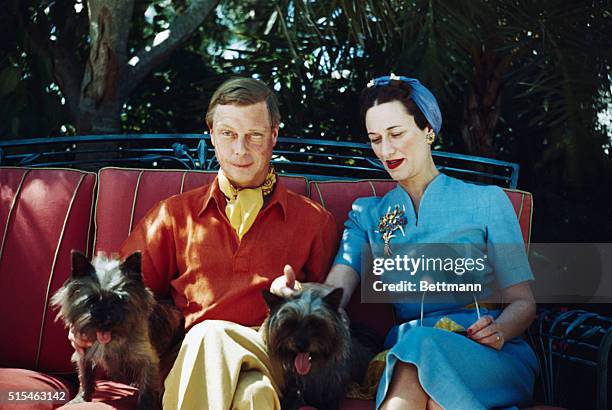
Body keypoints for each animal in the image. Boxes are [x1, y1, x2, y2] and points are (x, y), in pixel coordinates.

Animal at [50, 250, 183, 410]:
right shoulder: (84, 355)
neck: (112, 338)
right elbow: (85, 378)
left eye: (119, 300)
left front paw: (146, 405)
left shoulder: (148, 359)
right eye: (91, 301)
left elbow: (147, 386)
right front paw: (81, 399)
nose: (105, 320)